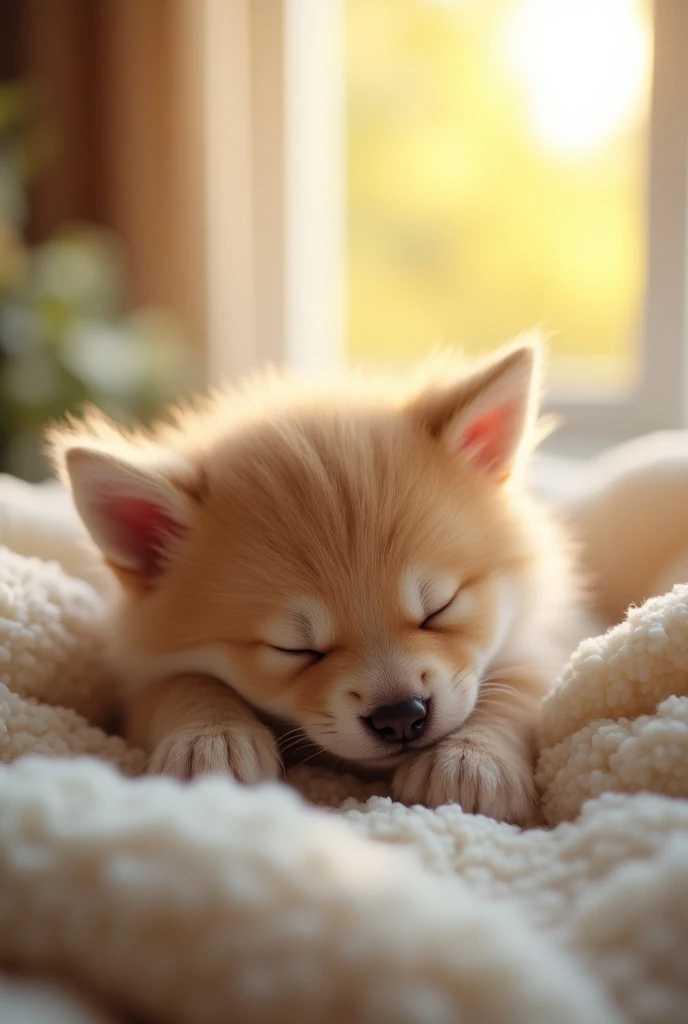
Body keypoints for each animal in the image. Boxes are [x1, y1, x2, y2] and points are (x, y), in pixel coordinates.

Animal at [49, 342, 585, 823]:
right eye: (295, 649)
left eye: (440, 608)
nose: (400, 715)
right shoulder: (139, 682)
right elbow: (181, 682)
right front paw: (210, 740)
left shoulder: (547, 637)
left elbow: (518, 687)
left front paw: (473, 759)